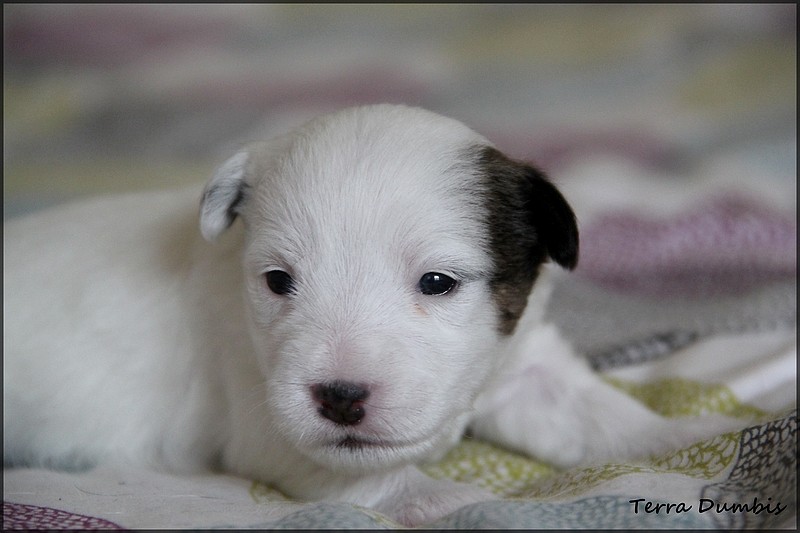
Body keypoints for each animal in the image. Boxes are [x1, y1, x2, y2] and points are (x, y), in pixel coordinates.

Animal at [1, 103, 736, 524]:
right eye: (277, 281)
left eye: (437, 282)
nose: (340, 397)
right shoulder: (267, 418)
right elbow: (381, 477)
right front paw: (463, 501)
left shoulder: (522, 365)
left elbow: (597, 413)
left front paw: (690, 435)